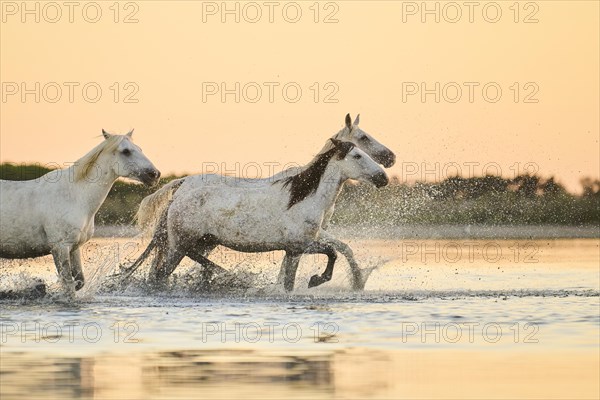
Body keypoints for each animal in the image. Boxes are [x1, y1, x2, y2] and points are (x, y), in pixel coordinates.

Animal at [0, 130, 161, 296]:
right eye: (126, 151)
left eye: (140, 148)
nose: (154, 174)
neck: (76, 196)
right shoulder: (60, 247)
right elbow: (68, 285)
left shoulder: (74, 248)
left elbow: (79, 281)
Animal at [130, 114, 394, 290]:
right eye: (360, 147)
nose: (384, 174)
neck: (304, 198)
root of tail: (182, 188)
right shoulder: (299, 245)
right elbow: (333, 253)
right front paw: (319, 280)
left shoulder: (302, 244)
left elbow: (333, 253)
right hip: (180, 244)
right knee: (160, 274)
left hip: (202, 242)